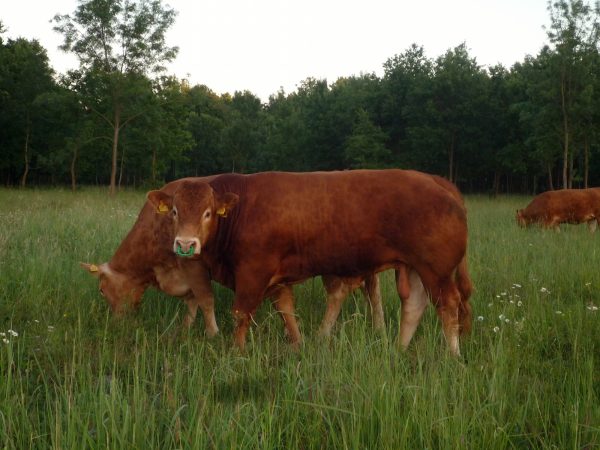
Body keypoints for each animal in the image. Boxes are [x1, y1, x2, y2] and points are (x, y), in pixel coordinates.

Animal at [81, 178, 384, 342]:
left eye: (101, 290)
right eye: (175, 211)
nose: (117, 323)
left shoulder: (193, 264)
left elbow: (204, 299)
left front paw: (213, 333)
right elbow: (192, 303)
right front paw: (185, 330)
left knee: (339, 294)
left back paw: (325, 334)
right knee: (373, 292)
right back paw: (378, 327)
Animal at [148, 169, 472, 356]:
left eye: (207, 213)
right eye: (174, 211)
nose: (185, 244)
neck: (242, 210)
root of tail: (436, 180)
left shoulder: (253, 272)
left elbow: (242, 313)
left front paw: (236, 351)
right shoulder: (276, 278)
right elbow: (286, 311)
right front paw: (298, 343)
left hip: (437, 270)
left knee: (448, 305)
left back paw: (453, 355)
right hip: (416, 268)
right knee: (414, 305)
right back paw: (400, 349)